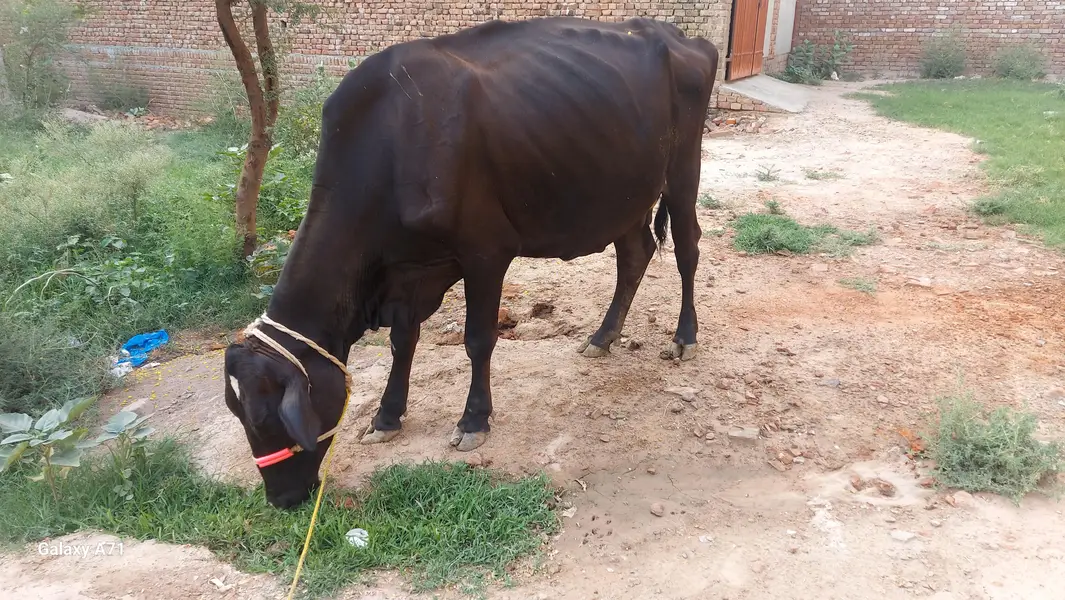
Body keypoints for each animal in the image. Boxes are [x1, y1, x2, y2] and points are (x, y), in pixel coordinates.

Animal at [223, 16, 720, 508]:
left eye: (266, 418)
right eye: (238, 416)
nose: (281, 498)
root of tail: (677, 35)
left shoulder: (485, 252)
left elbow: (478, 340)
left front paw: (473, 421)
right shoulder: (410, 269)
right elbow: (403, 342)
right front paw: (386, 418)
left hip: (682, 171)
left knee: (688, 249)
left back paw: (684, 337)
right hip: (623, 196)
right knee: (634, 254)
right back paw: (602, 337)